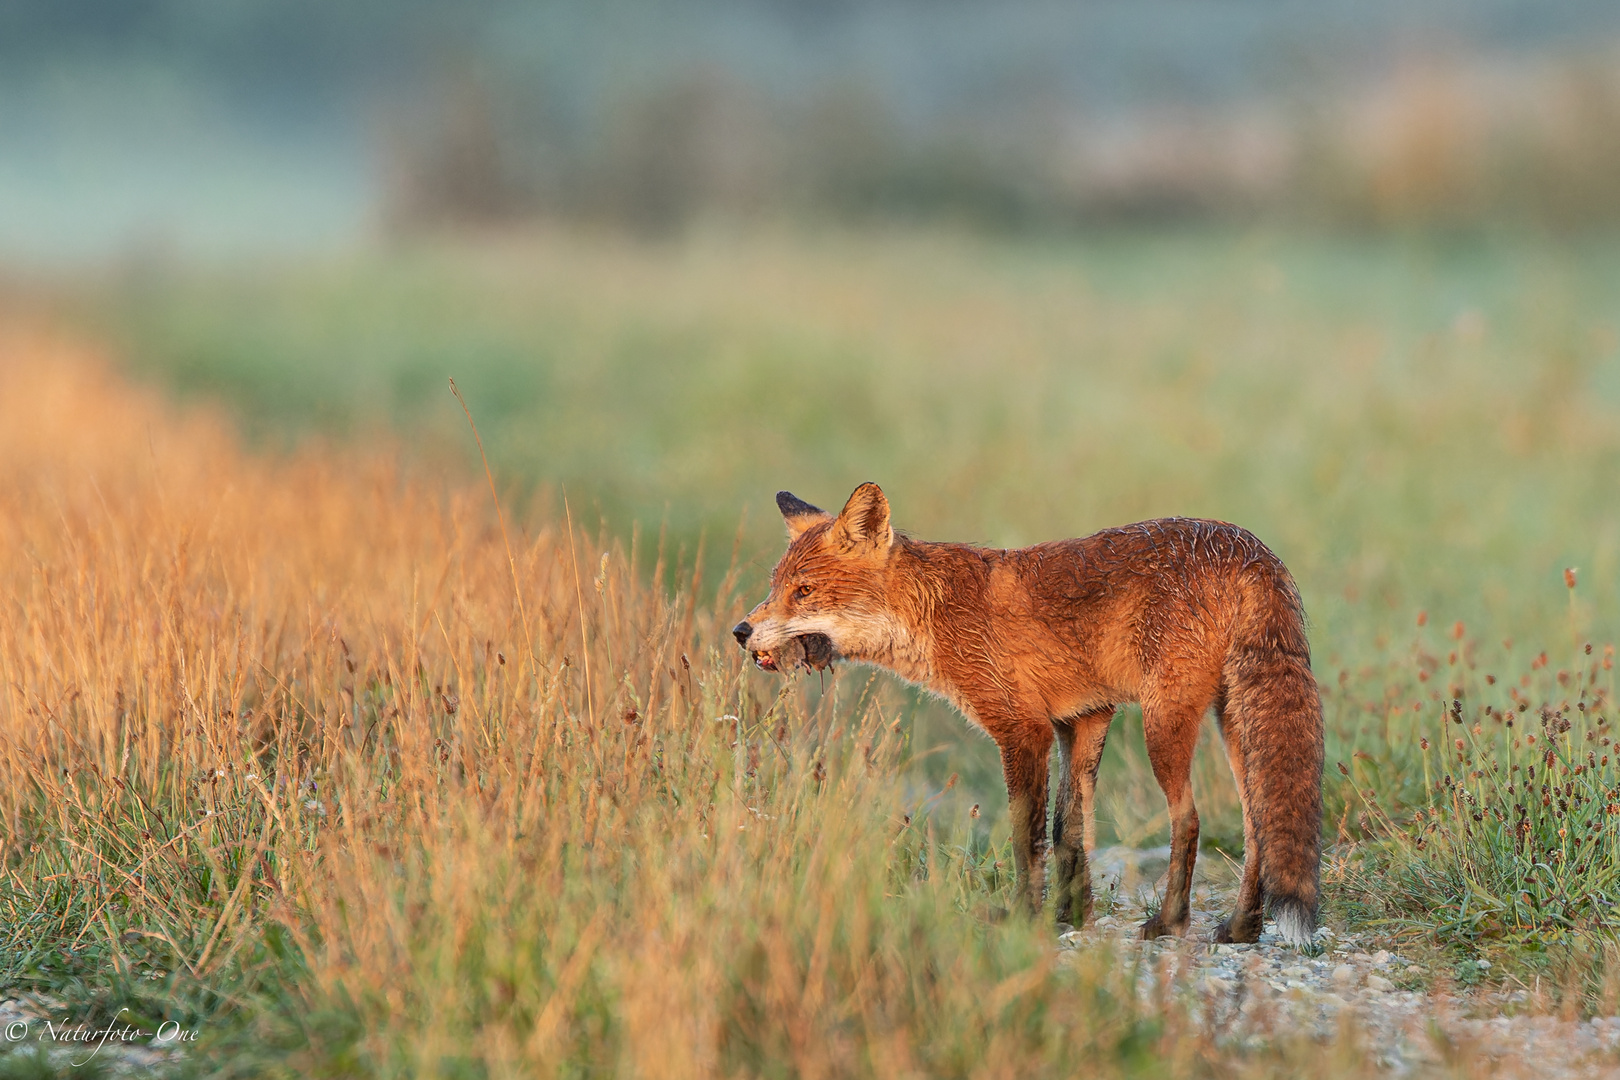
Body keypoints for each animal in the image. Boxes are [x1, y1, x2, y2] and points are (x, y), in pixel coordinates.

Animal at [735, 482, 1315, 945]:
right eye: (775, 586)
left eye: (804, 592)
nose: (741, 631)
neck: (933, 612)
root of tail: (1250, 549)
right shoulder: (1083, 718)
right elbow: (1069, 832)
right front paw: (1070, 917)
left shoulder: (1022, 729)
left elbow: (1026, 838)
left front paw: (1023, 918)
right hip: (1234, 721)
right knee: (1259, 826)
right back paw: (1242, 927)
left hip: (1164, 721)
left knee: (1190, 819)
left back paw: (1171, 922)